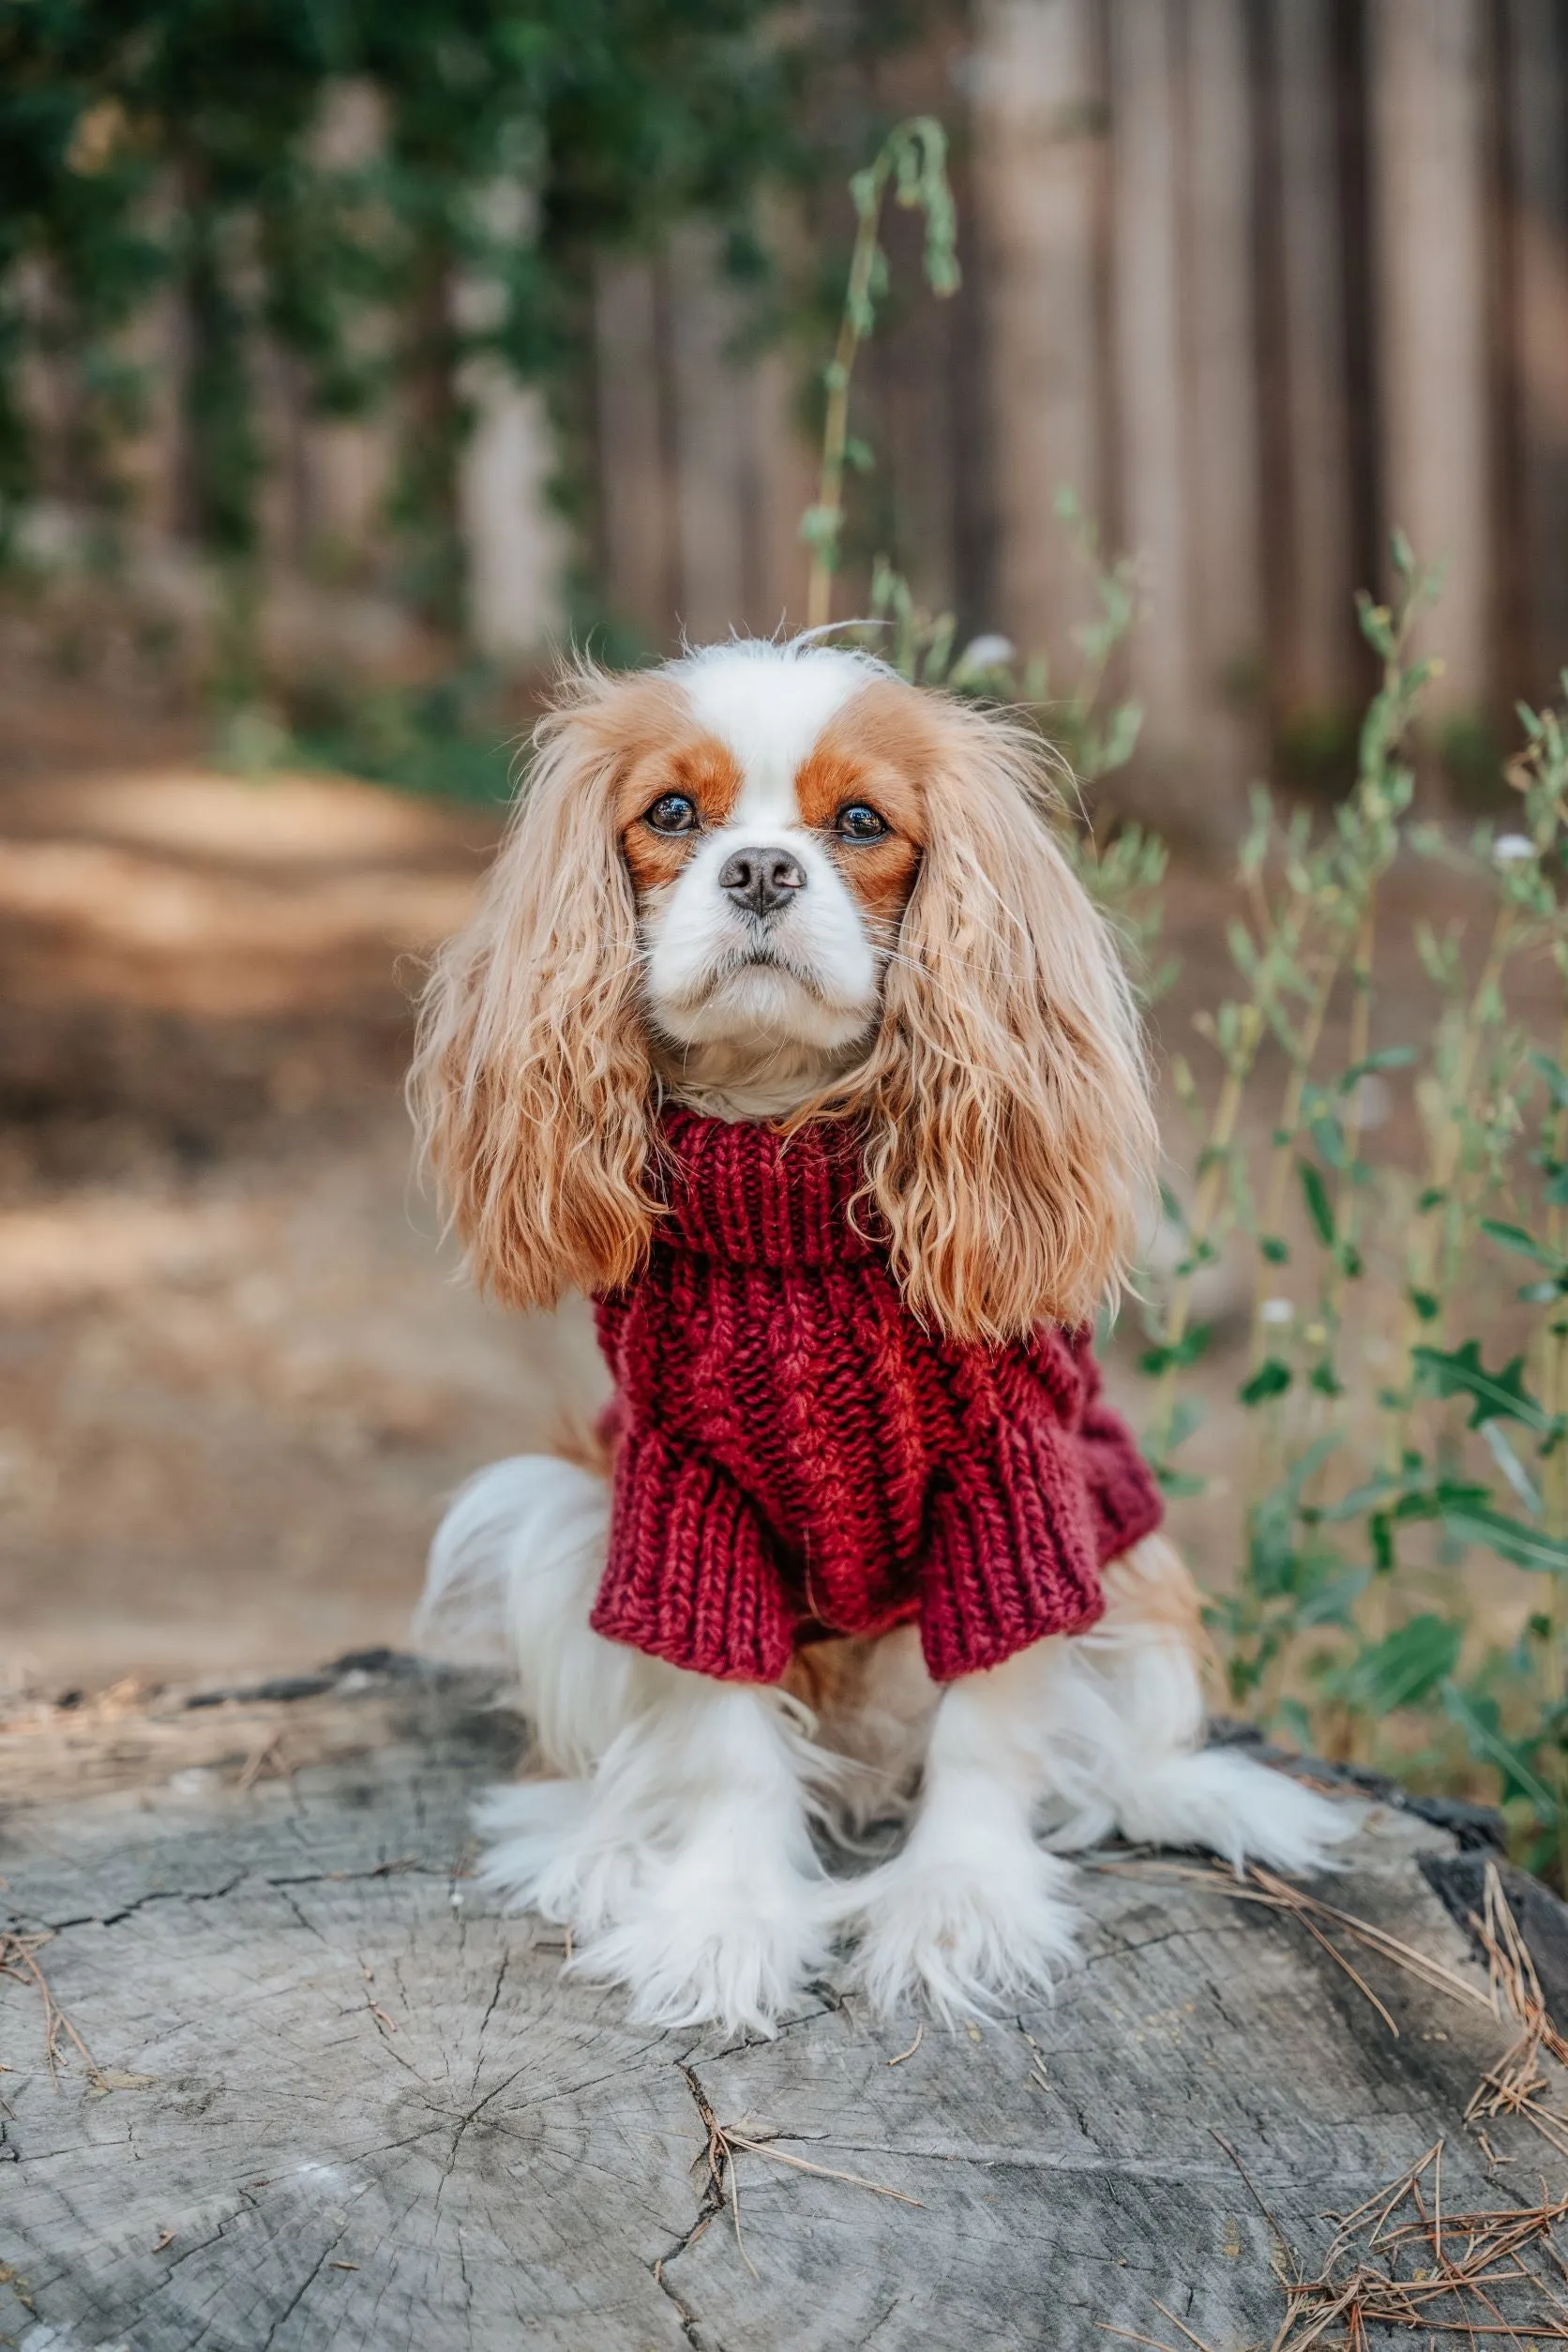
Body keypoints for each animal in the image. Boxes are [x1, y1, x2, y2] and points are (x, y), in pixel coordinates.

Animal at [414, 635, 1353, 2031]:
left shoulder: (1015, 1491)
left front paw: (957, 1907)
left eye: (860, 824)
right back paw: (610, 1845)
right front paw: (724, 1921)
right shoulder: (684, 1503)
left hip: (1129, 1543)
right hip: (561, 1521)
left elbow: (990, 1725)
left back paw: (1181, 1793)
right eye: (672, 816)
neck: (785, 1176)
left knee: (1114, 1745)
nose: (759, 870)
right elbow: (725, 1738)